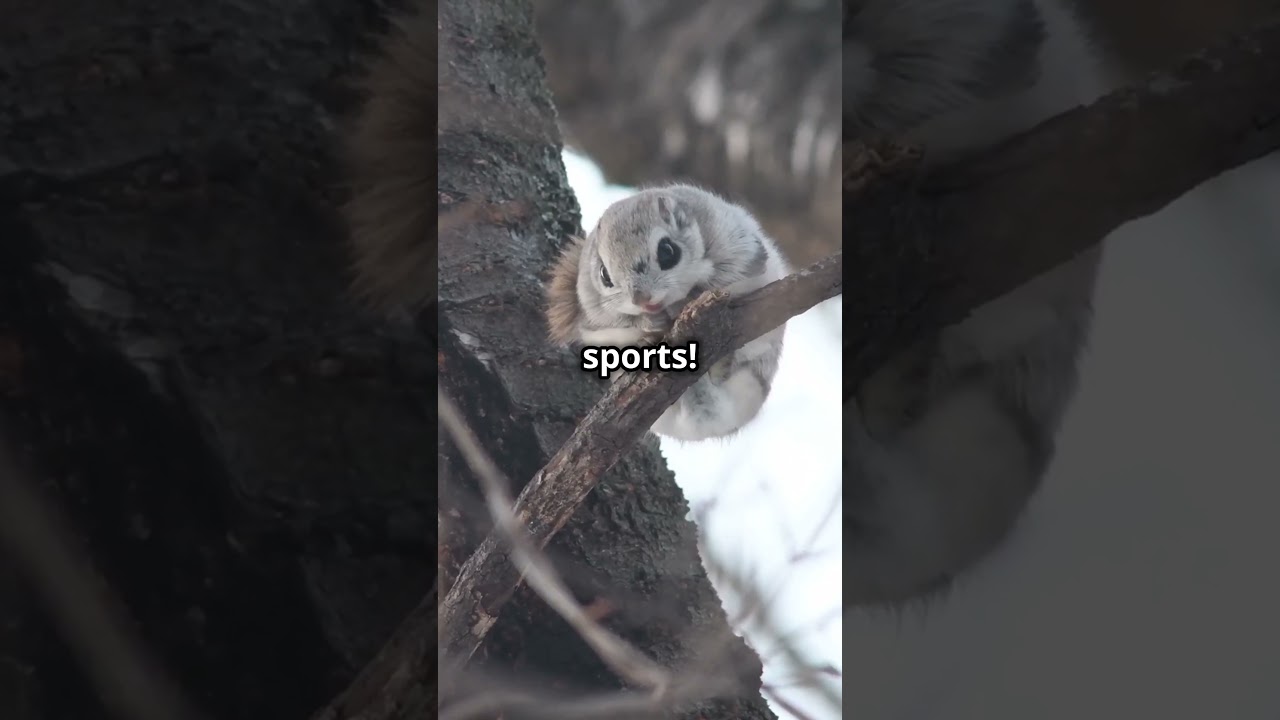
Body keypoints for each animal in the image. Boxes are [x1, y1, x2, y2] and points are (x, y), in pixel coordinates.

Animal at [545, 185, 791, 442]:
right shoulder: (595, 316)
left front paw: (682, 302)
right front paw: (648, 322)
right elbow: (618, 322)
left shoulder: (738, 251)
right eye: (604, 275)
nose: (641, 299)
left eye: (667, 251)